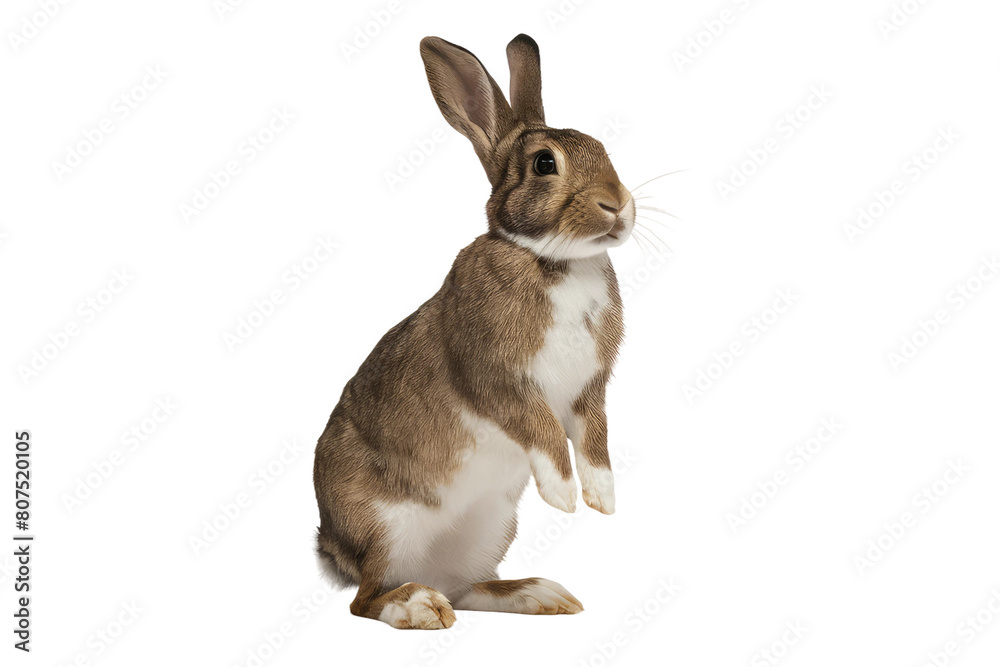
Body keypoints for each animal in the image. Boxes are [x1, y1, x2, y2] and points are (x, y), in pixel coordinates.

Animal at [313, 33, 636, 630]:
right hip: (386, 527)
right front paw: (563, 497)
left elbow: (595, 439)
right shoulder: (500, 381)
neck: (553, 260)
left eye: (601, 146)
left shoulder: (589, 391)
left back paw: (539, 594)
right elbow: (544, 431)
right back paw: (417, 607)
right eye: (544, 164)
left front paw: (603, 499)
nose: (618, 205)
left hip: (490, 530)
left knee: (466, 589)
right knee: (365, 599)